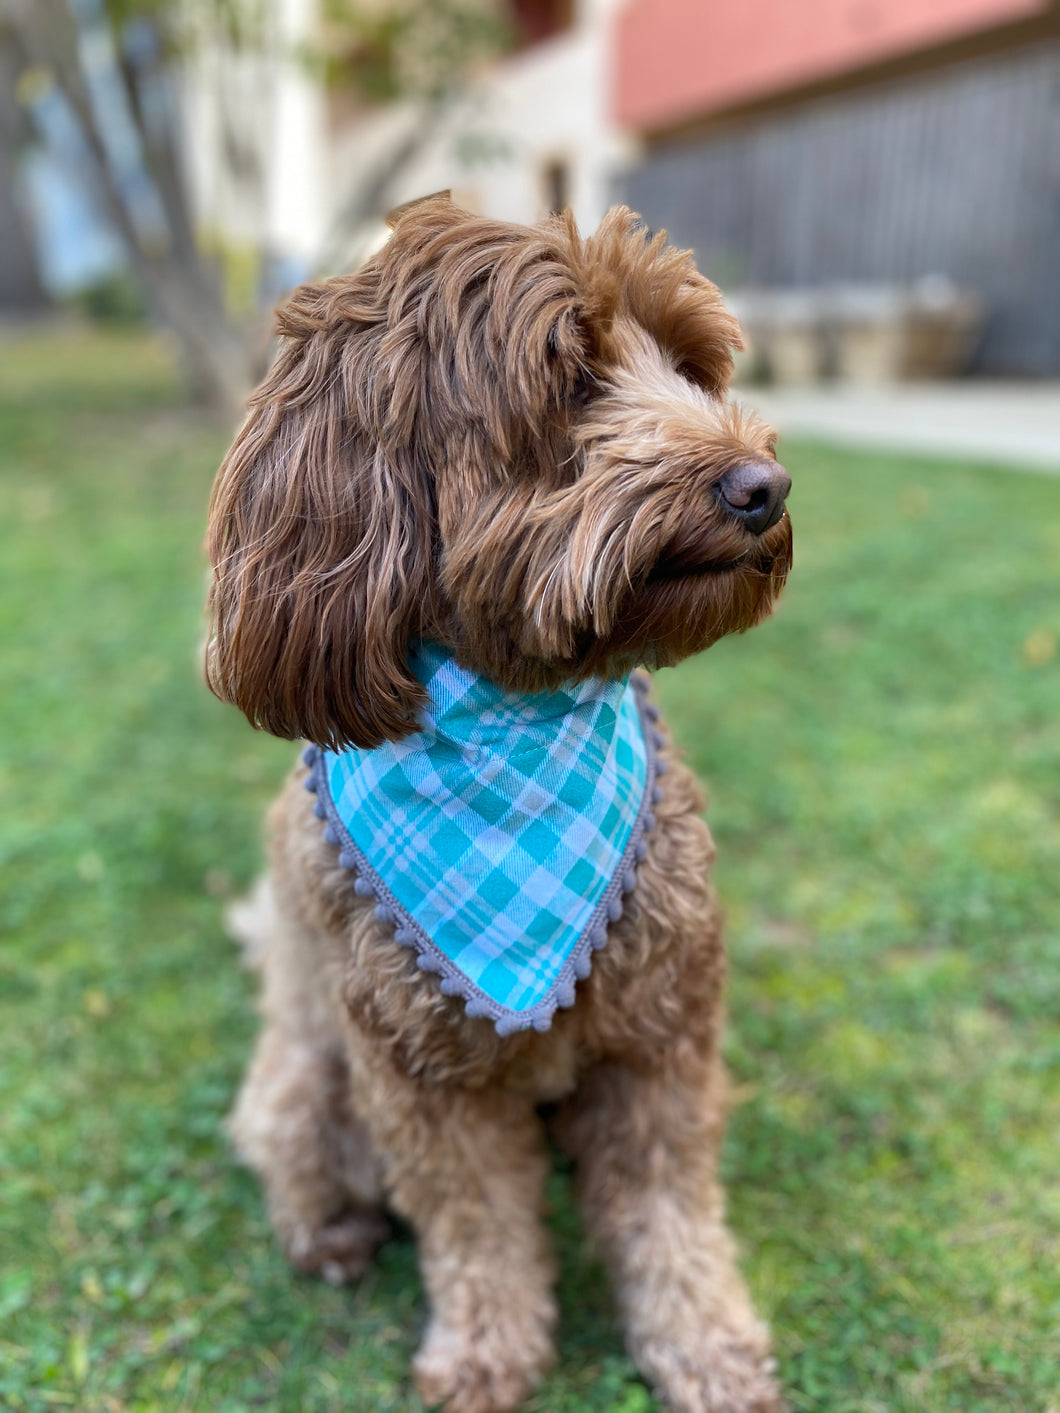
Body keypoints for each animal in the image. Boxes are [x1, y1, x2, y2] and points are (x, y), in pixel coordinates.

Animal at [207, 196, 791, 1413]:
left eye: (693, 367)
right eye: (570, 378)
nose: (765, 488)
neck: (521, 728)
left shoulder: (661, 1034)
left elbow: (669, 1209)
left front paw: (705, 1345)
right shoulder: (419, 1077)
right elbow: (475, 1224)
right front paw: (484, 1354)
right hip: (306, 1075)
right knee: (290, 1147)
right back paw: (330, 1235)